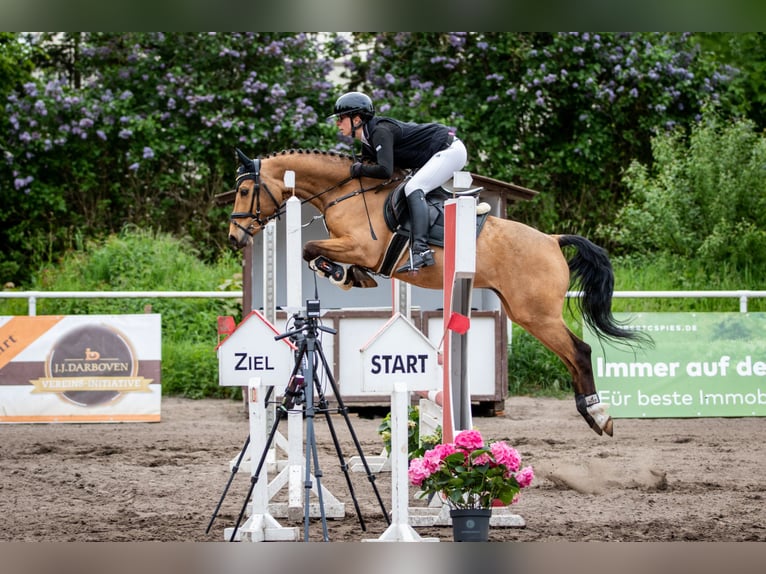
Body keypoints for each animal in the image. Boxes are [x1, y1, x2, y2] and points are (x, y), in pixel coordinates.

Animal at [228, 147, 648, 436]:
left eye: (246, 190)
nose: (235, 238)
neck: (344, 191)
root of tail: (551, 239)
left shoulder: (362, 246)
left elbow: (309, 248)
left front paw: (342, 274)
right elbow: (312, 251)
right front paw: (351, 277)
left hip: (536, 314)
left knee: (580, 351)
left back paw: (599, 415)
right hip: (523, 312)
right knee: (570, 355)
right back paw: (591, 412)